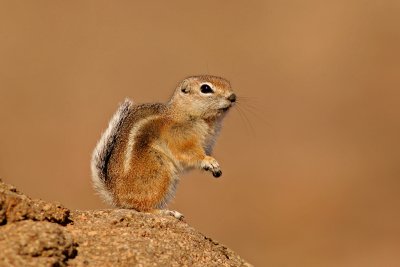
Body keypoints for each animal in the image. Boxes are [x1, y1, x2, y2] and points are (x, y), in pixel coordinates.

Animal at [90, 75, 234, 220]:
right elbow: (188, 153)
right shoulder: (179, 137)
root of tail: (116, 195)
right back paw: (166, 212)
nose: (232, 97)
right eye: (205, 88)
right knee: (141, 207)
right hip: (159, 170)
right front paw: (208, 161)